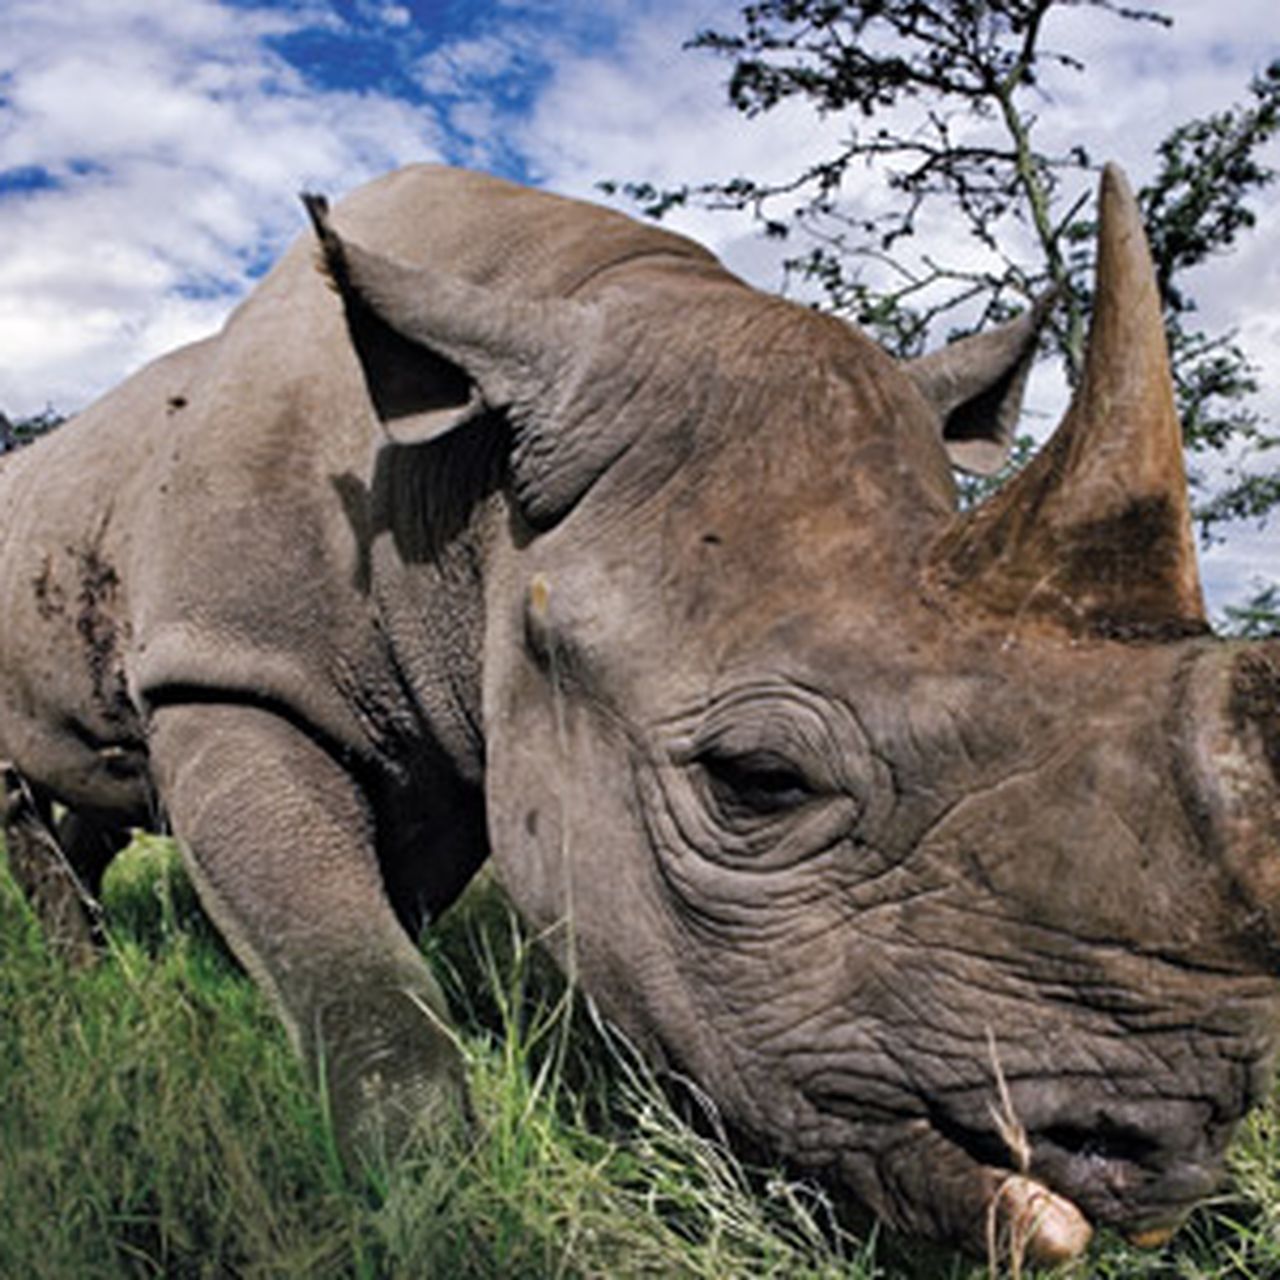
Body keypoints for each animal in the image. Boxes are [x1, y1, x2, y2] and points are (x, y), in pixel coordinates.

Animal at [2, 161, 1279, 1265]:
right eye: (755, 780)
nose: (1161, 1152)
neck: (472, 498)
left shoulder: (456, 740)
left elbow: (382, 915)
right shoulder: (230, 665)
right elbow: (350, 962)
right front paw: (430, 1207)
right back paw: (80, 970)